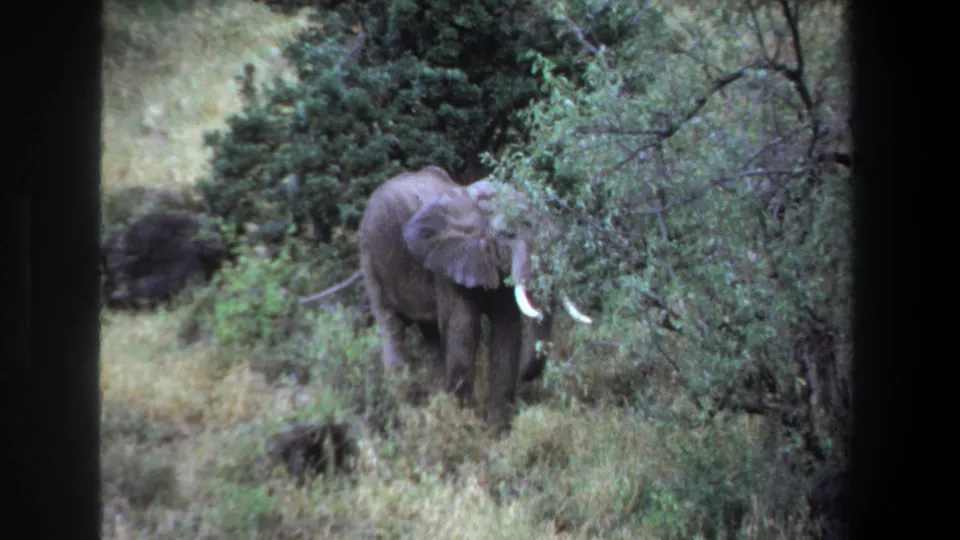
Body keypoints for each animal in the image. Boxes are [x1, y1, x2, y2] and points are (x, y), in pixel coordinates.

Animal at [357, 165, 592, 430]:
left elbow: (507, 332)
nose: (525, 378)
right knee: (391, 327)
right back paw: (402, 410)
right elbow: (464, 330)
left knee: (432, 335)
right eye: (508, 234)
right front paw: (463, 423)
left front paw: (497, 430)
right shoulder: (446, 263)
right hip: (370, 257)